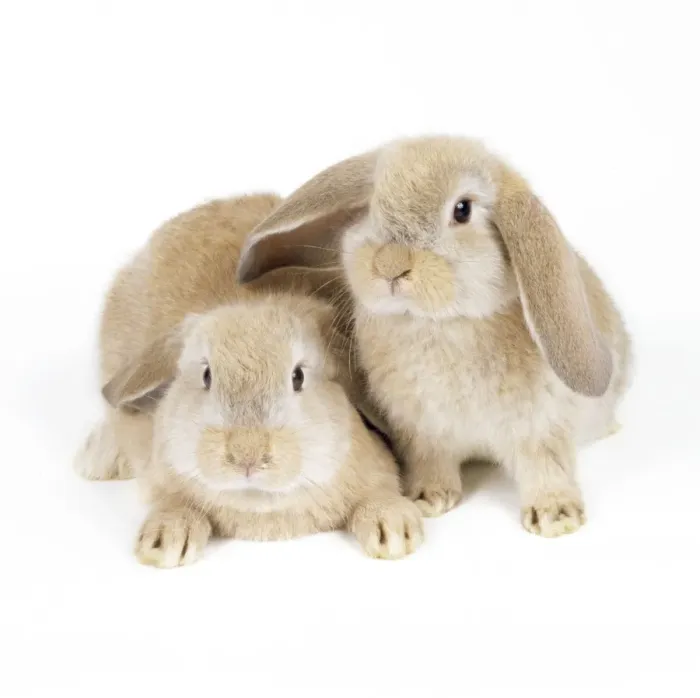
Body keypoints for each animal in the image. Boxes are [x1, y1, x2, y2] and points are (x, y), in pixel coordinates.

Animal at [75, 193, 421, 564]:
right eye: (206, 375)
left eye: (298, 377)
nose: (247, 454)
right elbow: (172, 501)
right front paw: (165, 540)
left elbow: (381, 491)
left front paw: (394, 529)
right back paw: (97, 459)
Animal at [236, 136, 633, 538]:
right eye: (372, 204)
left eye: (462, 209)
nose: (390, 265)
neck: (437, 323)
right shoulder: (424, 432)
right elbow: (434, 463)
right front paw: (427, 499)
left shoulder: (541, 426)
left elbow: (545, 467)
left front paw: (555, 517)